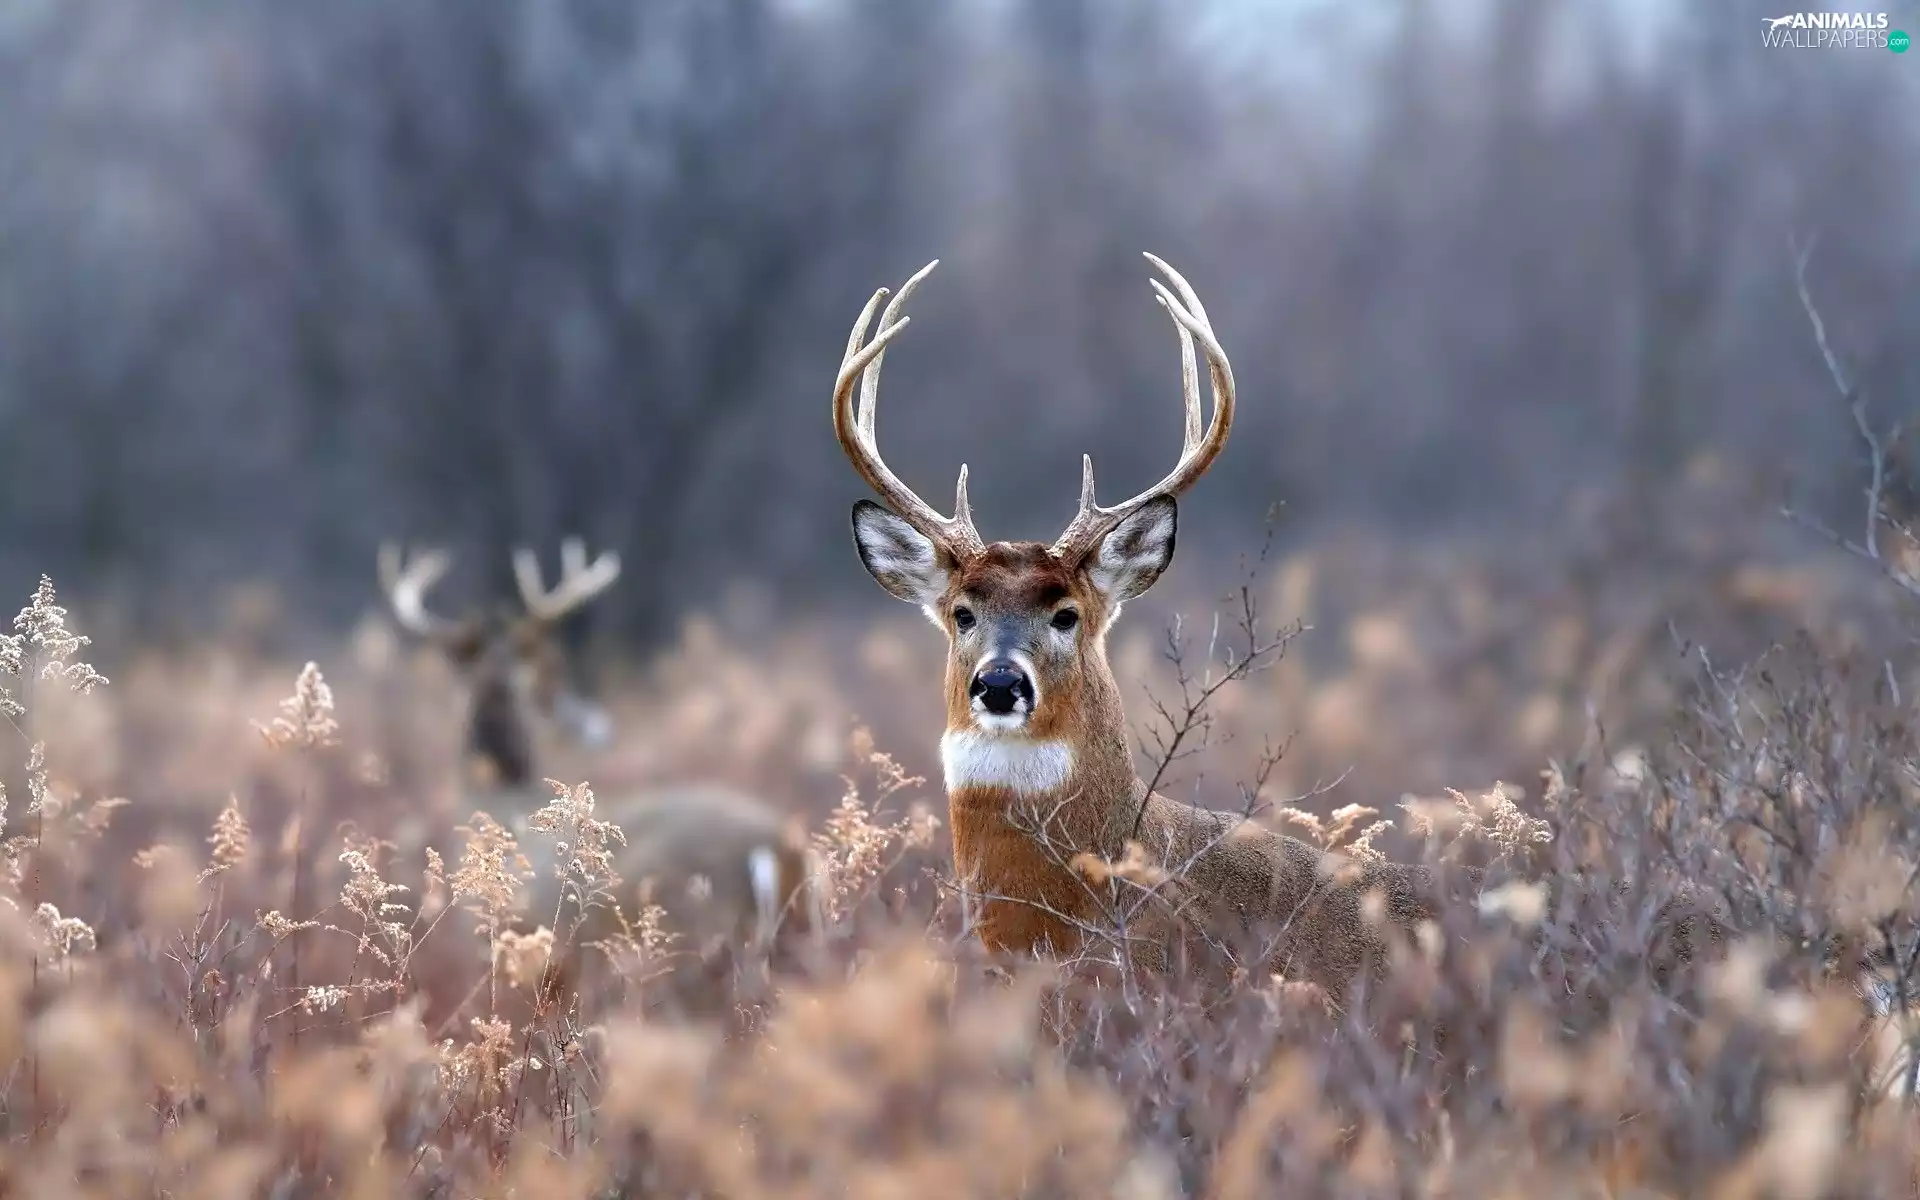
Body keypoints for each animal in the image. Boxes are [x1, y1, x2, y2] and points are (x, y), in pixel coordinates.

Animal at [375, 538, 819, 1012]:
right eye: (548, 679)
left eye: (553, 667)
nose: (597, 725)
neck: (497, 798)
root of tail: (775, 847)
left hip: (686, 945)